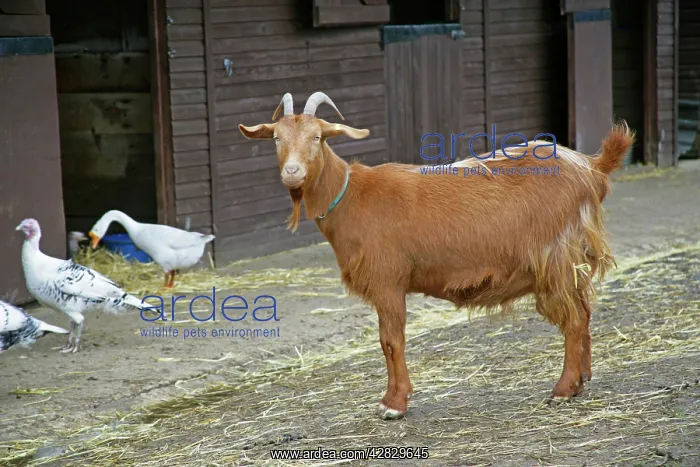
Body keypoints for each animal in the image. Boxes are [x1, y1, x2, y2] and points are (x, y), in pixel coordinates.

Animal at [239, 92, 635, 420]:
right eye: (276, 138)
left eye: (317, 137)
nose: (292, 173)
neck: (352, 196)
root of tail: (591, 167)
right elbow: (386, 342)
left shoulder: (388, 282)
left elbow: (391, 341)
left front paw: (394, 404)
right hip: (572, 261)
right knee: (584, 312)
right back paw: (583, 378)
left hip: (554, 259)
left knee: (573, 319)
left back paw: (564, 389)